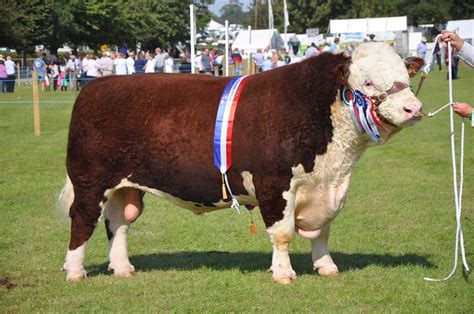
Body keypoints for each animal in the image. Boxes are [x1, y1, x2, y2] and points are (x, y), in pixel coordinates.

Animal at [57, 43, 424, 284]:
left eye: (405, 76)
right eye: (368, 82)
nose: (414, 108)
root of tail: (95, 87)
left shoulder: (326, 185)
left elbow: (323, 231)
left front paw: (326, 266)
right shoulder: (274, 183)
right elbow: (283, 233)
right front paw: (284, 273)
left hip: (123, 185)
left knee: (118, 223)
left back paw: (122, 268)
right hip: (90, 180)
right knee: (83, 220)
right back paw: (75, 271)